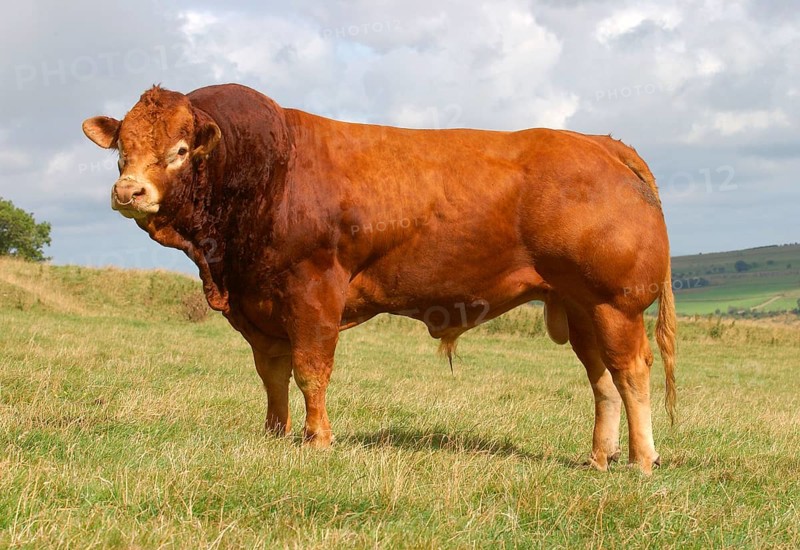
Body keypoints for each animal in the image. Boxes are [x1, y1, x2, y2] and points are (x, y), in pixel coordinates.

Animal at [82, 83, 676, 474]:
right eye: (121, 150)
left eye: (180, 151)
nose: (129, 191)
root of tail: (598, 142)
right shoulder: (258, 306)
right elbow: (272, 375)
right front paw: (275, 434)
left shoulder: (313, 291)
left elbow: (310, 371)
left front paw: (317, 439)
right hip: (579, 306)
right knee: (602, 379)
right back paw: (599, 458)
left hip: (615, 302)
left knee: (631, 373)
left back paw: (643, 460)